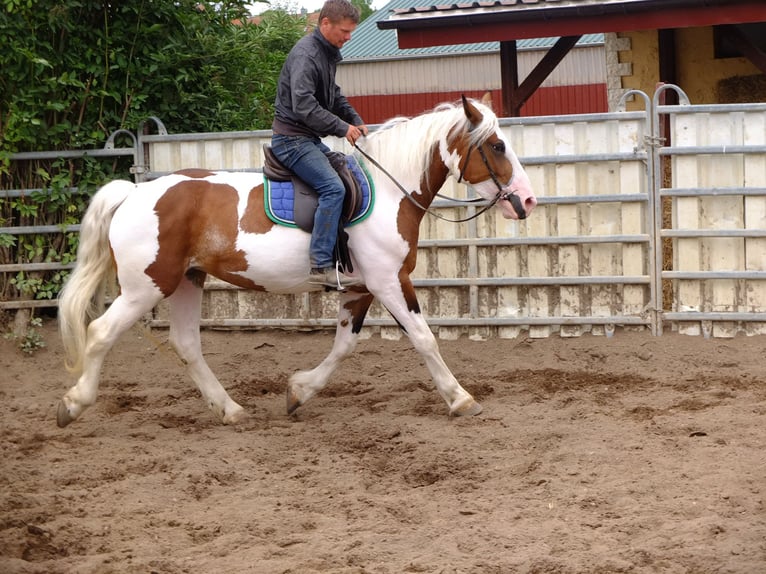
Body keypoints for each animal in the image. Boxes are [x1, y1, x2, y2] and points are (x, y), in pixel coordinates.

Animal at [57, 95, 536, 428]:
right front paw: (460, 399)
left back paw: (230, 410)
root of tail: (134, 193)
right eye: (497, 145)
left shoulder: (360, 290)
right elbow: (424, 338)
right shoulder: (390, 282)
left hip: (188, 281)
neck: (387, 190)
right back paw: (73, 404)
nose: (527, 200)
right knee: (100, 333)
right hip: (146, 287)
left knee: (187, 344)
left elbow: (343, 346)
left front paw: (299, 392)